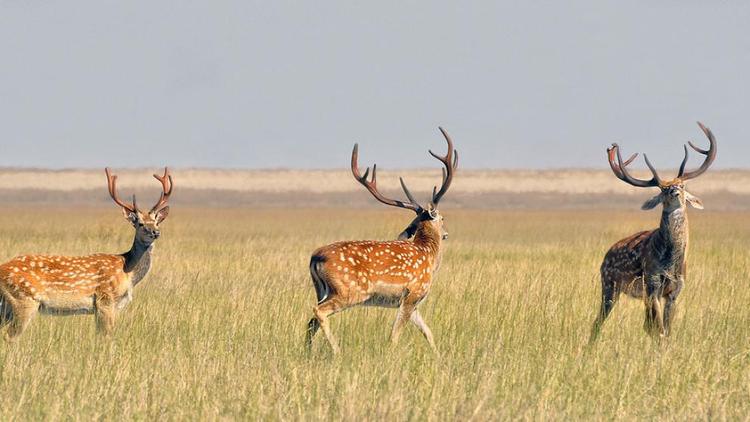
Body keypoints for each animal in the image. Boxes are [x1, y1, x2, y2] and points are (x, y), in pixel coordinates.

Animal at [0, 166, 172, 342]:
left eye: (156, 222)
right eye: (140, 223)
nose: (155, 232)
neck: (127, 272)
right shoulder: (105, 299)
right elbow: (106, 335)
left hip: (7, 306)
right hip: (24, 300)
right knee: (10, 336)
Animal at [306, 127, 458, 354]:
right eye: (443, 218)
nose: (447, 233)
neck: (429, 255)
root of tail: (316, 258)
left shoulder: (415, 303)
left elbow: (428, 332)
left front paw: (438, 356)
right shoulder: (412, 294)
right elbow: (394, 335)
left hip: (321, 290)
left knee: (311, 322)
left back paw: (307, 350)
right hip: (349, 291)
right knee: (318, 312)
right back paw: (337, 351)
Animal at [592, 120, 716, 342]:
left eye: (682, 185)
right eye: (663, 189)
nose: (674, 191)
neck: (671, 262)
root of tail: (605, 256)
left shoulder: (675, 290)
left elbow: (666, 330)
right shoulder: (652, 284)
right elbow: (659, 330)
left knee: (645, 325)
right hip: (608, 285)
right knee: (597, 322)